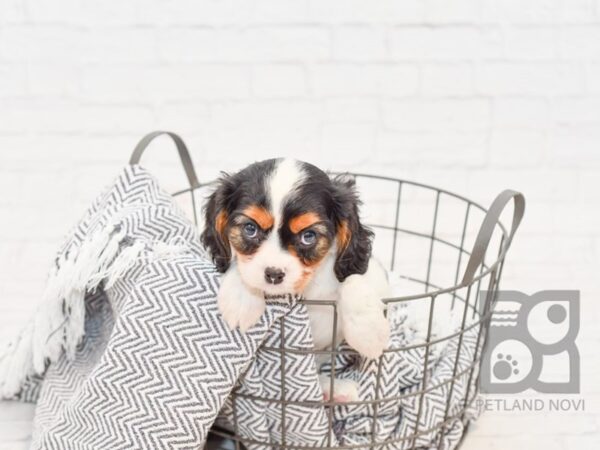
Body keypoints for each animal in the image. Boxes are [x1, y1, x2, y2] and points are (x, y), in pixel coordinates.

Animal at [199, 158, 392, 400]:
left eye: (308, 236)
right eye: (250, 229)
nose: (273, 274)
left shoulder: (374, 274)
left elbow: (354, 278)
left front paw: (368, 332)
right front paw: (241, 299)